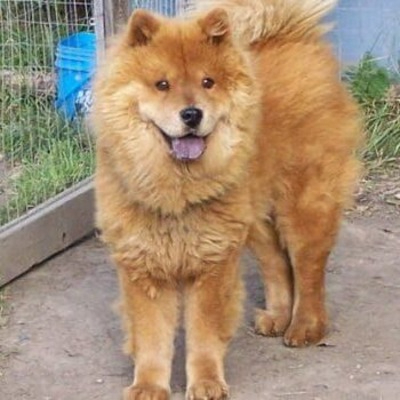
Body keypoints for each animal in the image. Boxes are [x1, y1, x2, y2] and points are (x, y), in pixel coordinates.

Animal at [93, 0, 362, 398]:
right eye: (162, 84)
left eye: (208, 82)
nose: (192, 113)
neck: (176, 186)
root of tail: (292, 36)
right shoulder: (144, 265)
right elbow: (152, 337)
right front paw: (148, 386)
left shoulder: (213, 263)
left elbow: (204, 334)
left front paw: (206, 383)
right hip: (251, 220)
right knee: (276, 264)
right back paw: (277, 318)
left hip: (302, 204)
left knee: (308, 268)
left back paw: (304, 328)